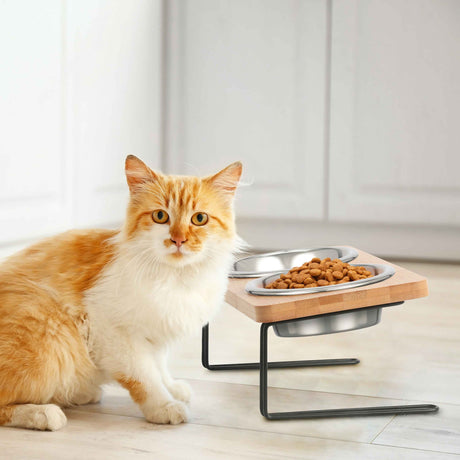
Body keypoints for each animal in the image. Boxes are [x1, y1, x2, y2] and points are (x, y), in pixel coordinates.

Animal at [0, 155, 243, 432]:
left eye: (199, 219)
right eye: (161, 216)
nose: (178, 240)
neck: (176, 278)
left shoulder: (156, 333)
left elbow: (159, 367)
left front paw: (172, 388)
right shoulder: (113, 332)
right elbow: (144, 378)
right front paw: (164, 406)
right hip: (50, 337)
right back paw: (45, 413)